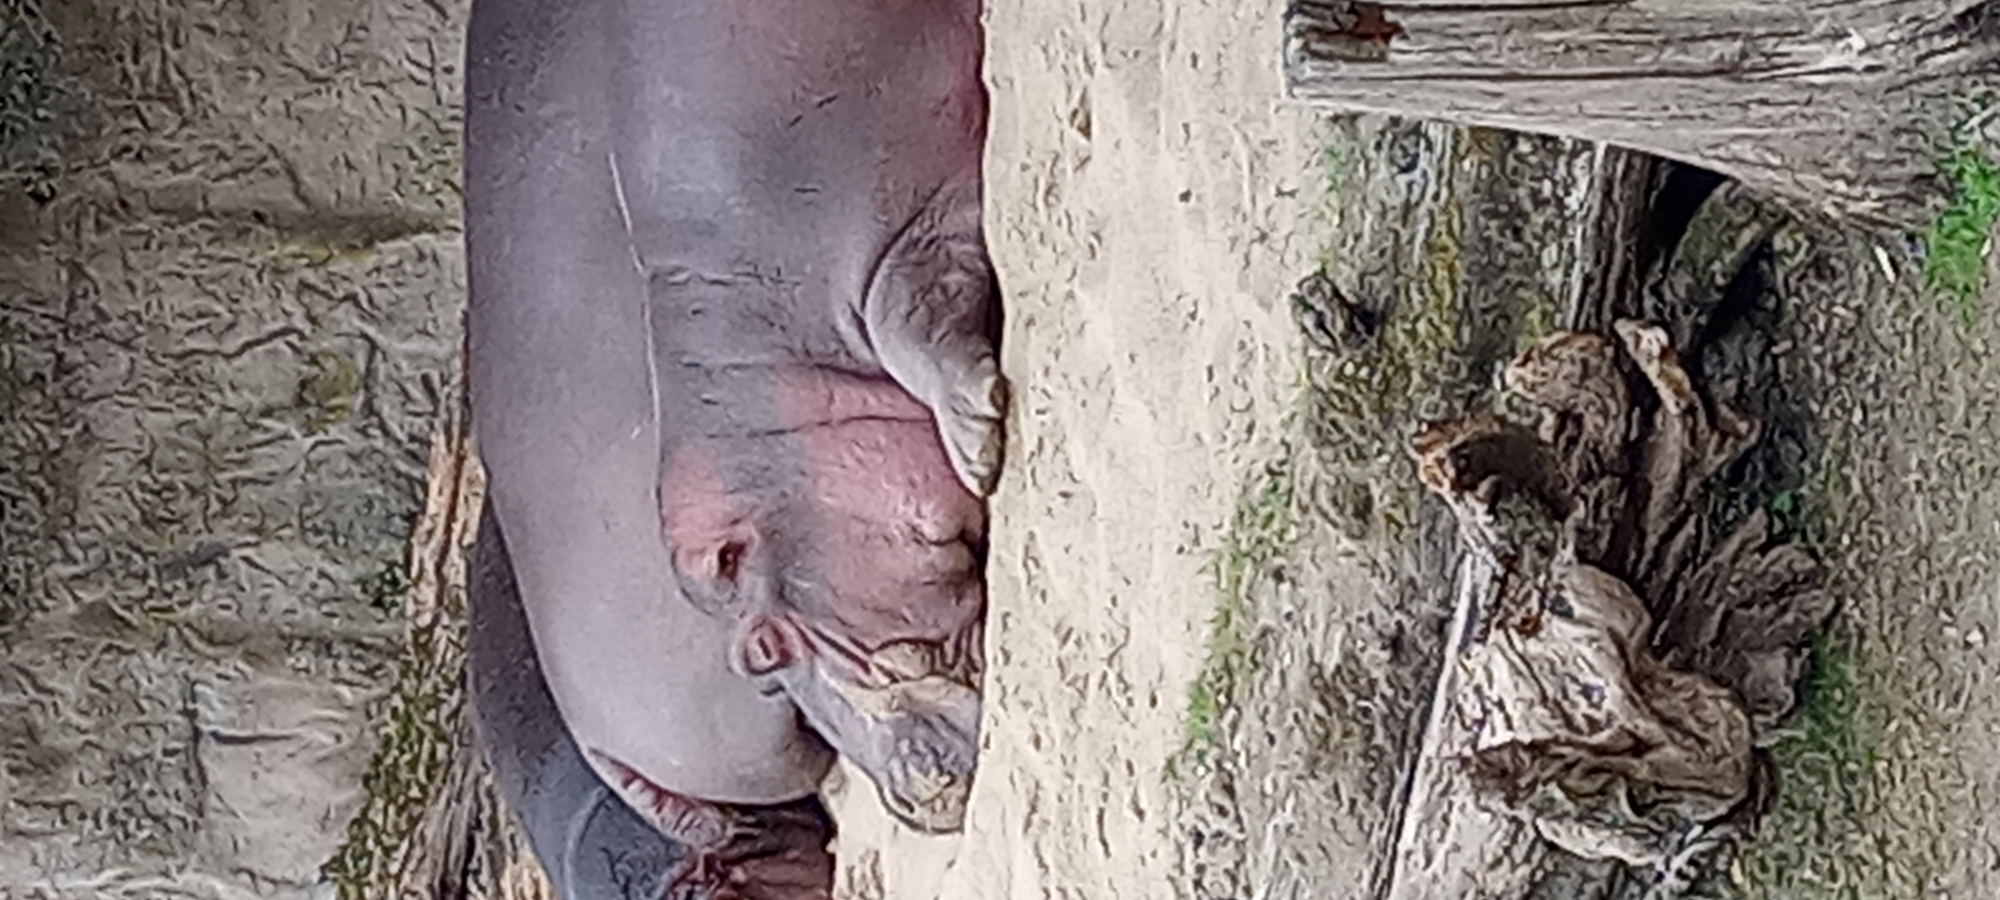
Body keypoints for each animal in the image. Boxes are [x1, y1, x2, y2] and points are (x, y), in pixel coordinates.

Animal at [461, 0, 1003, 889]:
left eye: (762, 650)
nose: (917, 796)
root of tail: (601, 746)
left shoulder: (895, 230)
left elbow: (919, 310)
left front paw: (979, 436)